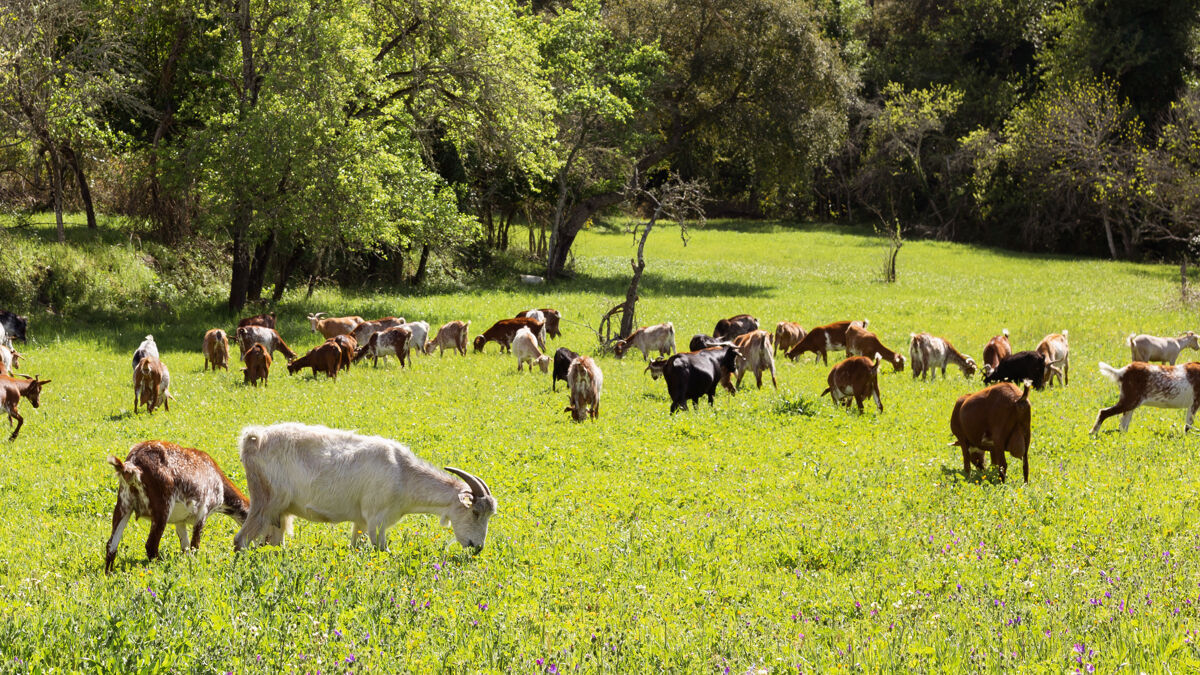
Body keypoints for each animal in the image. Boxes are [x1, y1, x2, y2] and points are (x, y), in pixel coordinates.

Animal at [234, 422, 496, 550]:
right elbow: (382, 551)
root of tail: (253, 439)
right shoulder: (376, 519)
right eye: (475, 512)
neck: (403, 473)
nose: (477, 547)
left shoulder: (360, 520)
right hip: (266, 501)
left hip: (280, 513)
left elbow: (355, 548)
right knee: (240, 541)